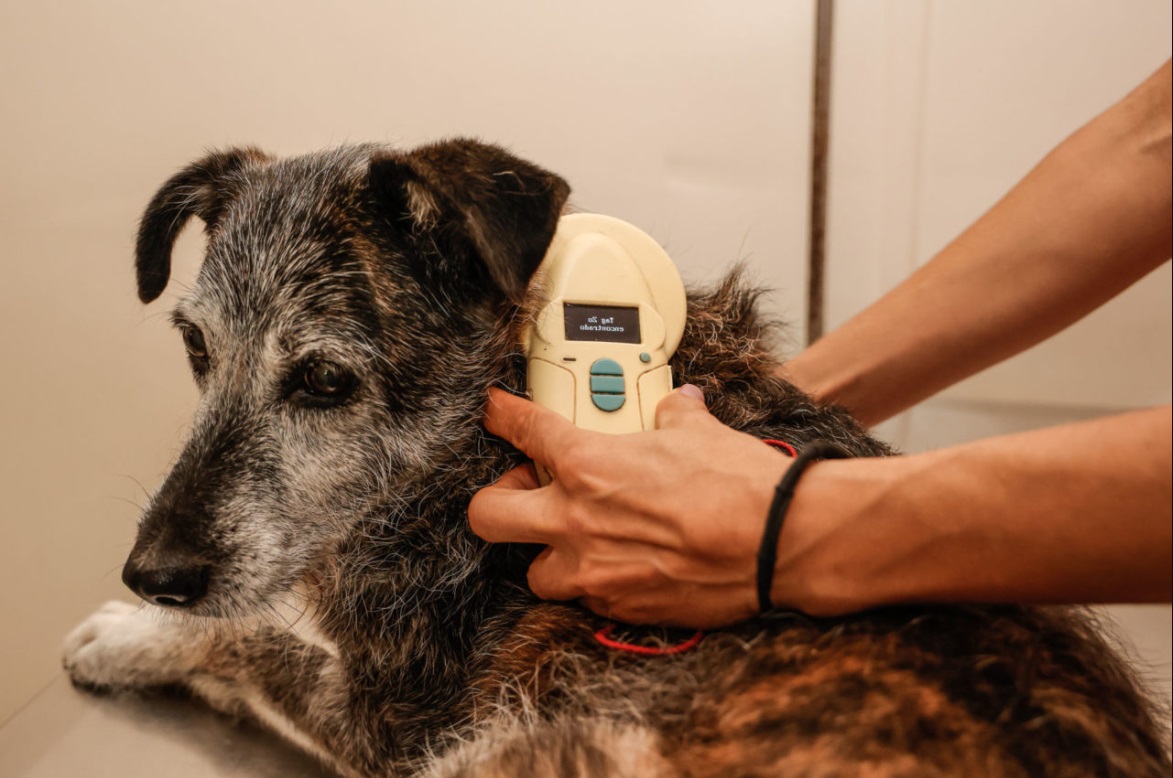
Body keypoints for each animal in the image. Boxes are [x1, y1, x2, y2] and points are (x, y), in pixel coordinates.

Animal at [61, 141, 1173, 778]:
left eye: (326, 379)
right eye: (196, 348)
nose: (151, 573)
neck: (469, 454)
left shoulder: (390, 726)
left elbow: (255, 642)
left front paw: (130, 635)